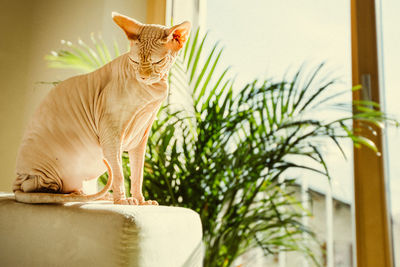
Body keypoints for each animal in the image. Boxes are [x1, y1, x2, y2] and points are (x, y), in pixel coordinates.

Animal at [12, 12, 191, 205]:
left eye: (158, 61)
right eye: (134, 61)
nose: (143, 76)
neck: (153, 89)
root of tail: (16, 182)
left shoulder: (140, 138)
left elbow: (138, 174)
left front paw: (141, 201)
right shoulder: (110, 133)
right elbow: (119, 173)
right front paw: (122, 200)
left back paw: (93, 194)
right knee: (34, 186)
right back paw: (75, 195)